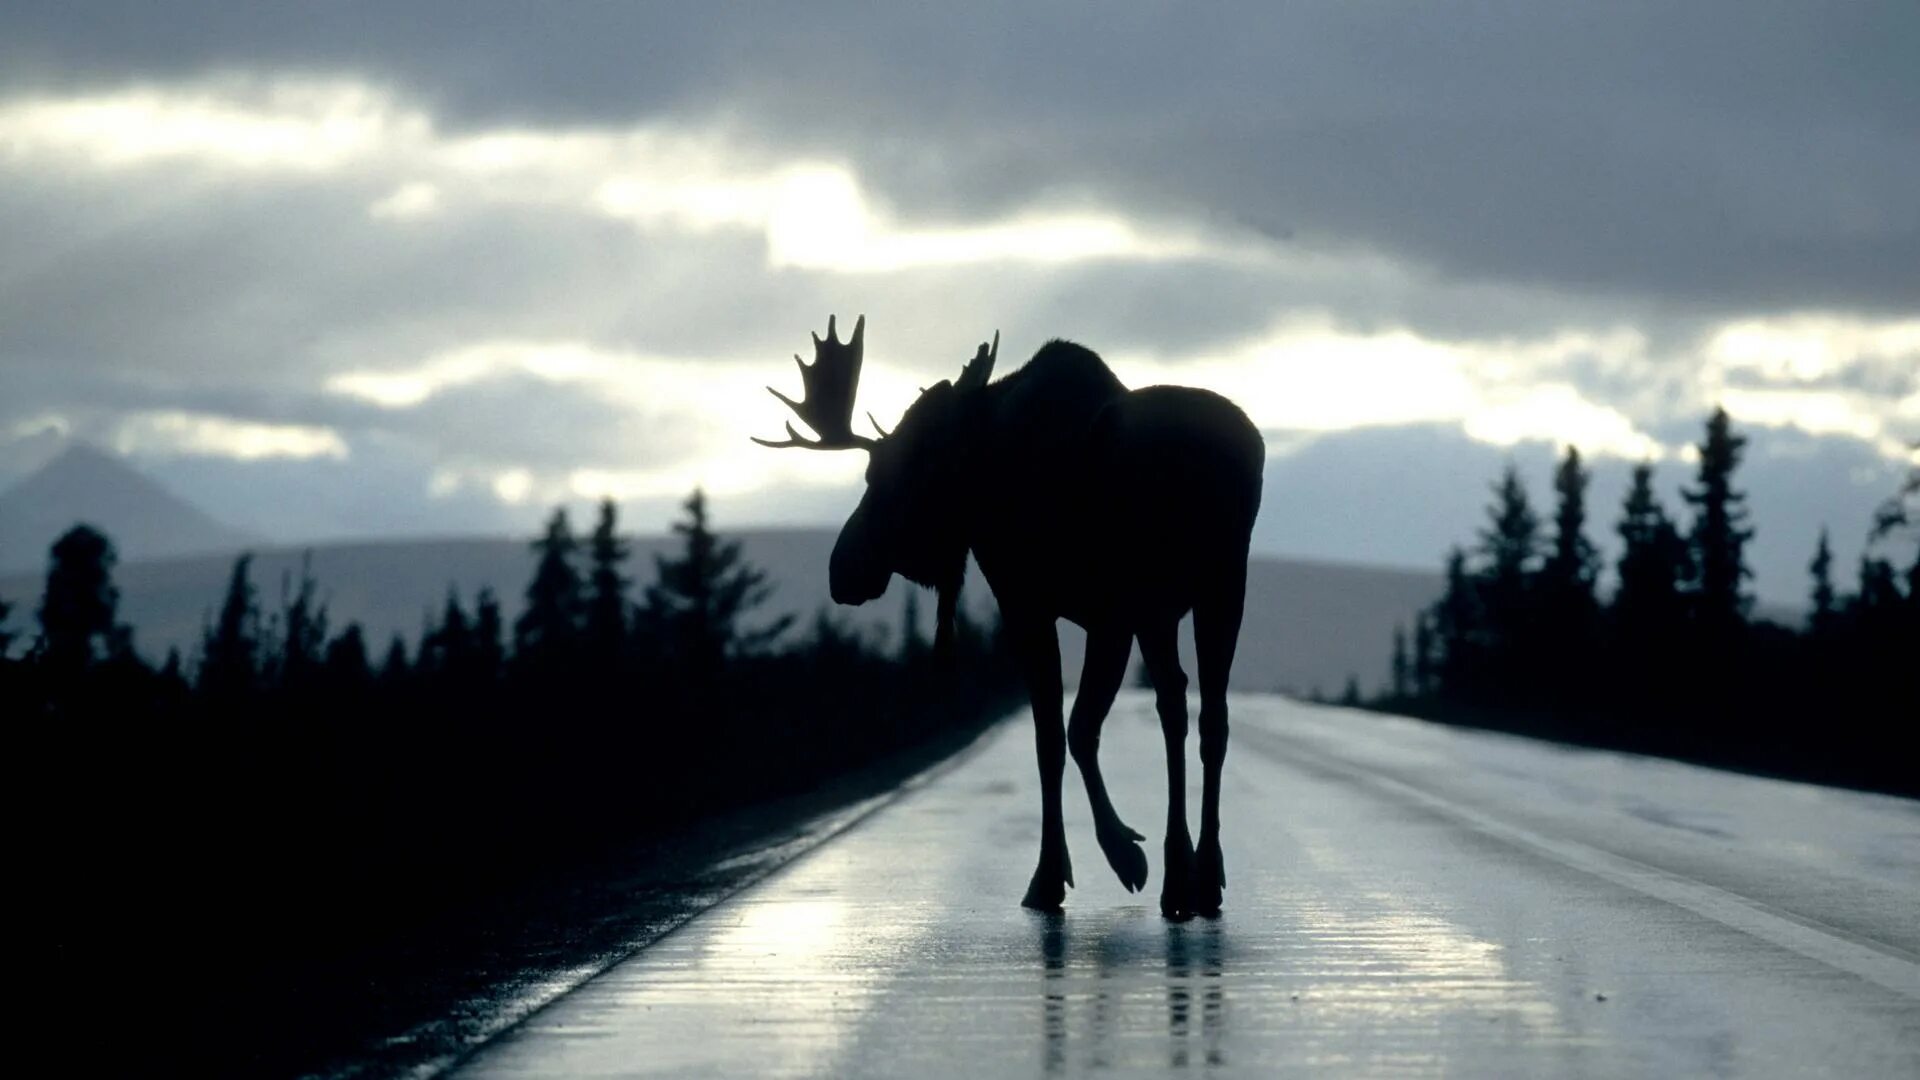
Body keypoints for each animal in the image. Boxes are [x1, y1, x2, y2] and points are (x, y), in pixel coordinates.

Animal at [756, 315, 1267, 910]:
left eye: (881, 477)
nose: (842, 569)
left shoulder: (1043, 604)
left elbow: (1058, 735)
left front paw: (1069, 870)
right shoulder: (1106, 618)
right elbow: (1073, 731)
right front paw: (1107, 856)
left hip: (1161, 594)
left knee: (1177, 703)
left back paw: (1181, 876)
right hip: (1220, 585)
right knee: (1207, 713)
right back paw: (1203, 874)